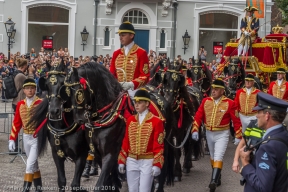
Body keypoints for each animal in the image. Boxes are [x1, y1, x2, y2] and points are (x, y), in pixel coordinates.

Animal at [29, 60, 88, 192]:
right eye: (46, 85)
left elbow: (75, 184)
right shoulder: (57, 155)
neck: (63, 127)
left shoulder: (81, 155)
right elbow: (61, 181)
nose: (54, 111)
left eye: (63, 84)